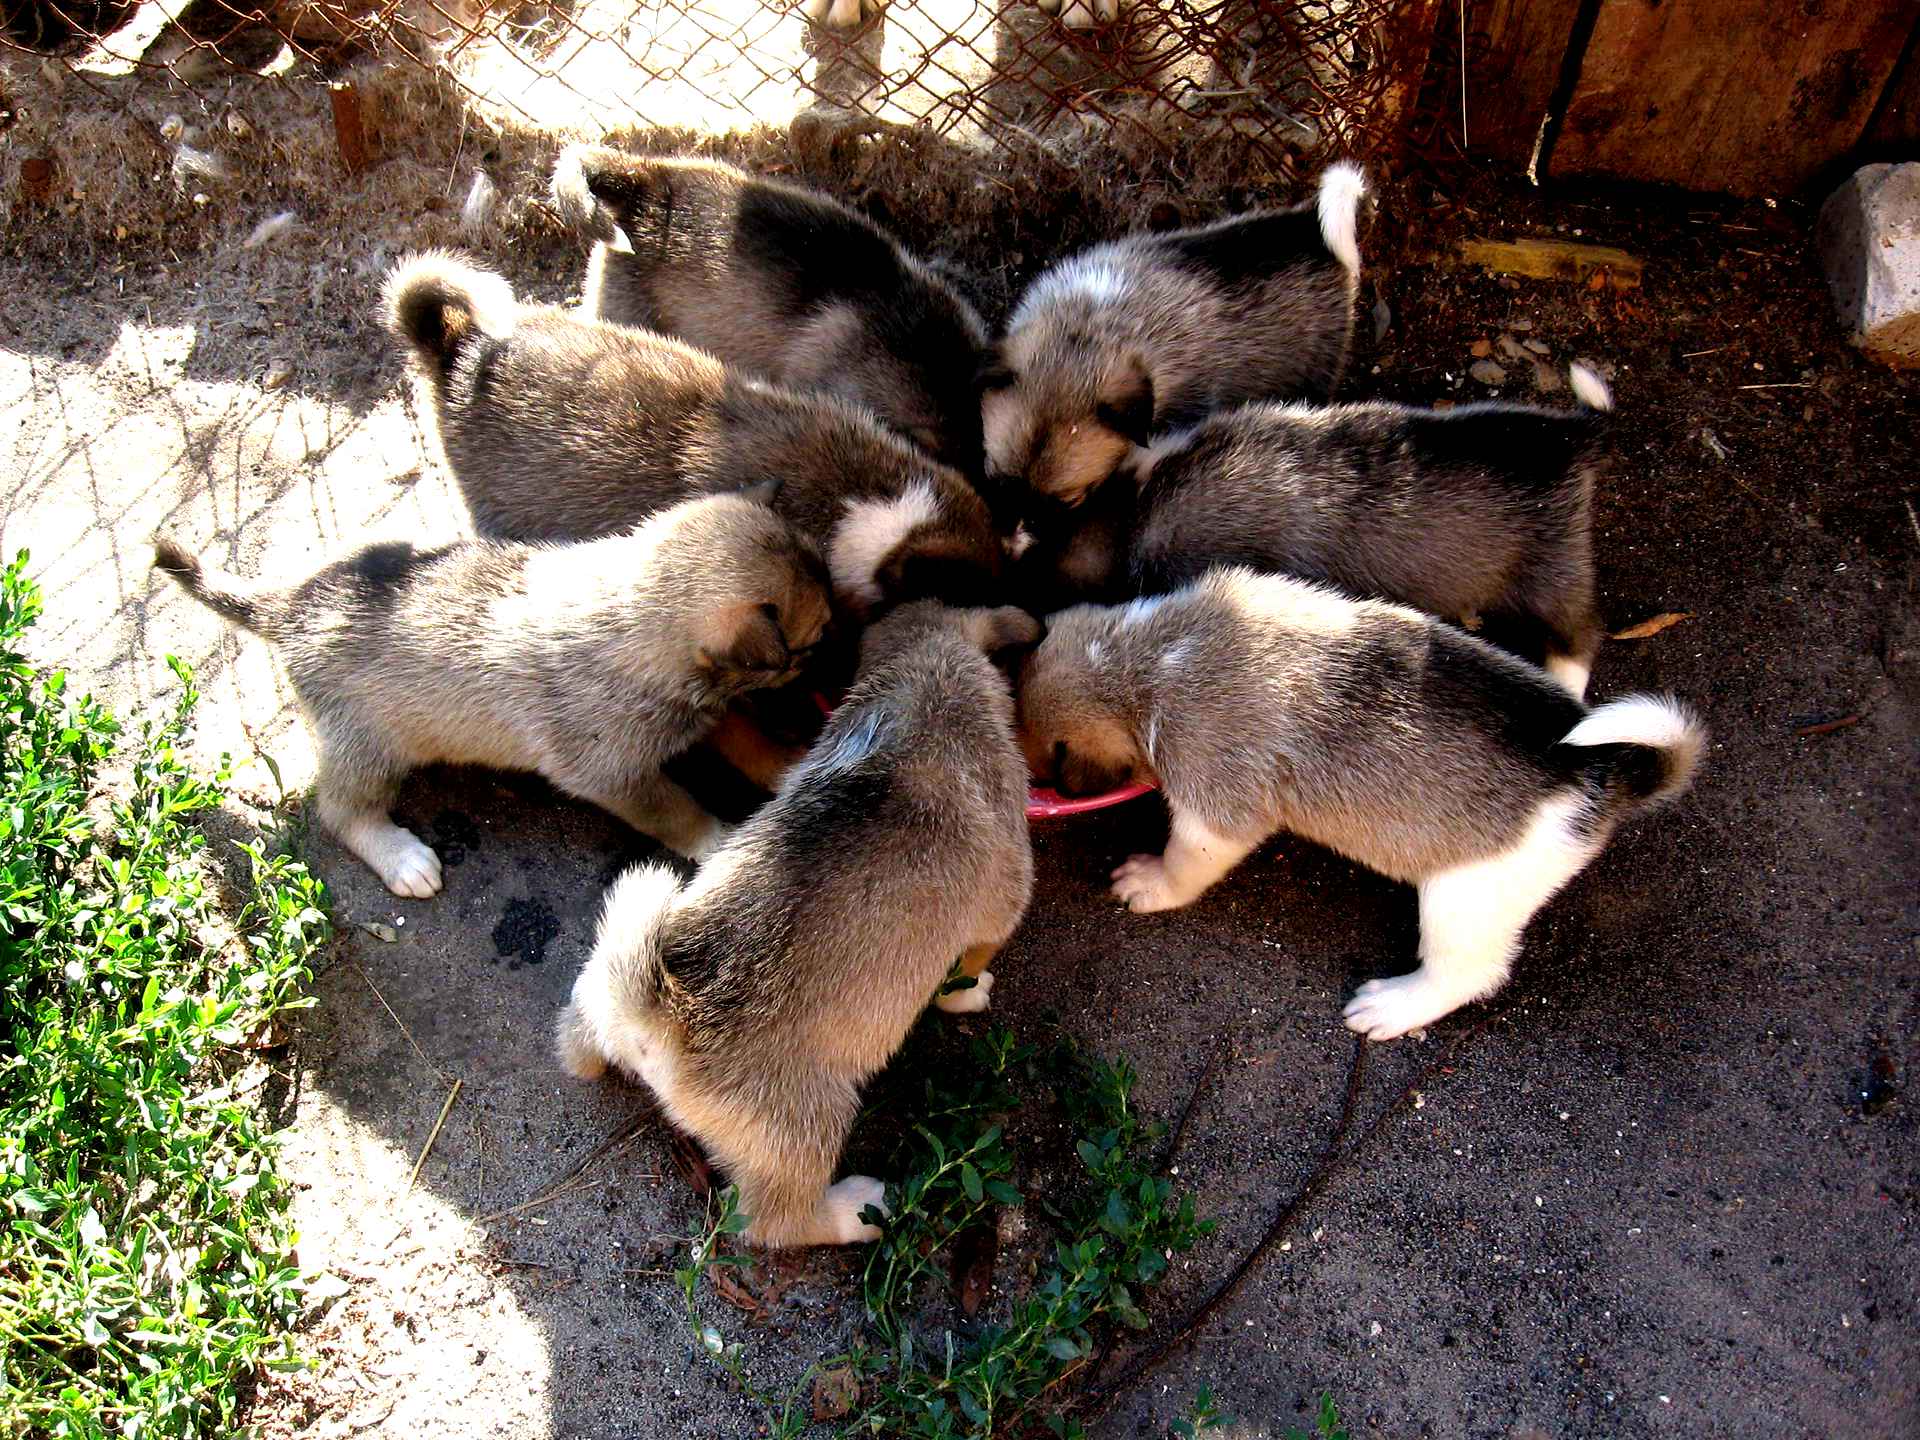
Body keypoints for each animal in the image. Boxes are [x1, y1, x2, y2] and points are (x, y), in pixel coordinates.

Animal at [153, 495, 829, 902]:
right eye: (810, 644)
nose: (825, 667)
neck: (633, 612)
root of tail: (294, 605)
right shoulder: (615, 777)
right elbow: (675, 810)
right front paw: (715, 840)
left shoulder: (712, 710)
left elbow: (748, 737)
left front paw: (793, 760)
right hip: (370, 750)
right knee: (342, 812)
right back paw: (401, 857)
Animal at [549, 599, 1044, 1251]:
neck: (926, 680)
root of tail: (657, 1018)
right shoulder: (999, 913)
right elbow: (960, 978)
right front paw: (971, 993)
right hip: (811, 1127)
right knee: (778, 1221)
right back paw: (856, 1210)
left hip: (599, 987)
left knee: (577, 1030)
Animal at [1021, 568, 1712, 1044]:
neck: (1147, 657)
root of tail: (1600, 773)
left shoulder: (1213, 813)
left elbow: (1182, 863)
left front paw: (1149, 882)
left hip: (1460, 903)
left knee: (1466, 975)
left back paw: (1391, 1006)